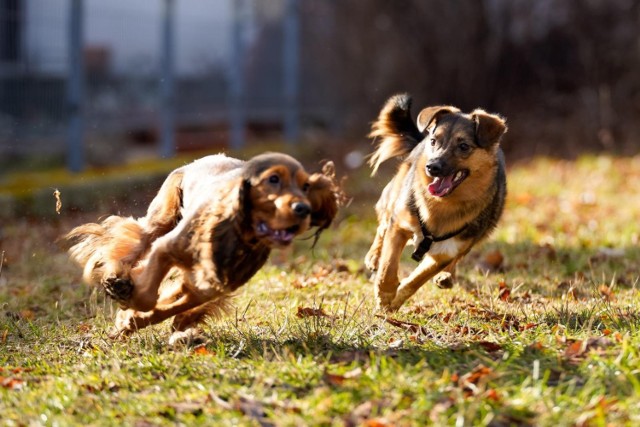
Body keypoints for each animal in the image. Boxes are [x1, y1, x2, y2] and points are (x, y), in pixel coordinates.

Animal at [66, 154, 340, 344]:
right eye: (273, 179)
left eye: (306, 187)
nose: (303, 209)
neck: (238, 236)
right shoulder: (167, 248)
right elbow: (148, 297)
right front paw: (127, 304)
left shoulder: (205, 288)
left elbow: (168, 304)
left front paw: (133, 320)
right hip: (162, 219)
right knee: (134, 241)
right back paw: (117, 279)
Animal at [364, 95, 510, 312]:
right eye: (434, 142)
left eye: (464, 146)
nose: (431, 166)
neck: (442, 205)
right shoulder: (400, 225)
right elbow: (388, 267)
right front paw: (385, 294)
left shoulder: (444, 252)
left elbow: (415, 281)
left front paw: (395, 300)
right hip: (395, 194)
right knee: (383, 225)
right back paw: (374, 256)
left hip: (480, 232)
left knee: (460, 256)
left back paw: (446, 276)